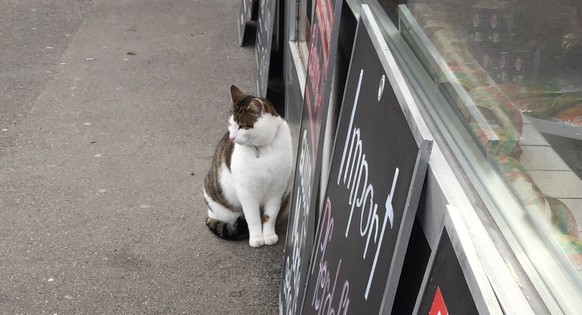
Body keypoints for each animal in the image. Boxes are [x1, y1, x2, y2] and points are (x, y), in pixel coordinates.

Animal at [206, 85, 296, 248]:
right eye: (230, 125)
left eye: (242, 126)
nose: (231, 137)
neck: (262, 148)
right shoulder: (246, 191)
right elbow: (252, 217)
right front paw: (256, 238)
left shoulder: (277, 189)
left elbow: (270, 215)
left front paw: (269, 235)